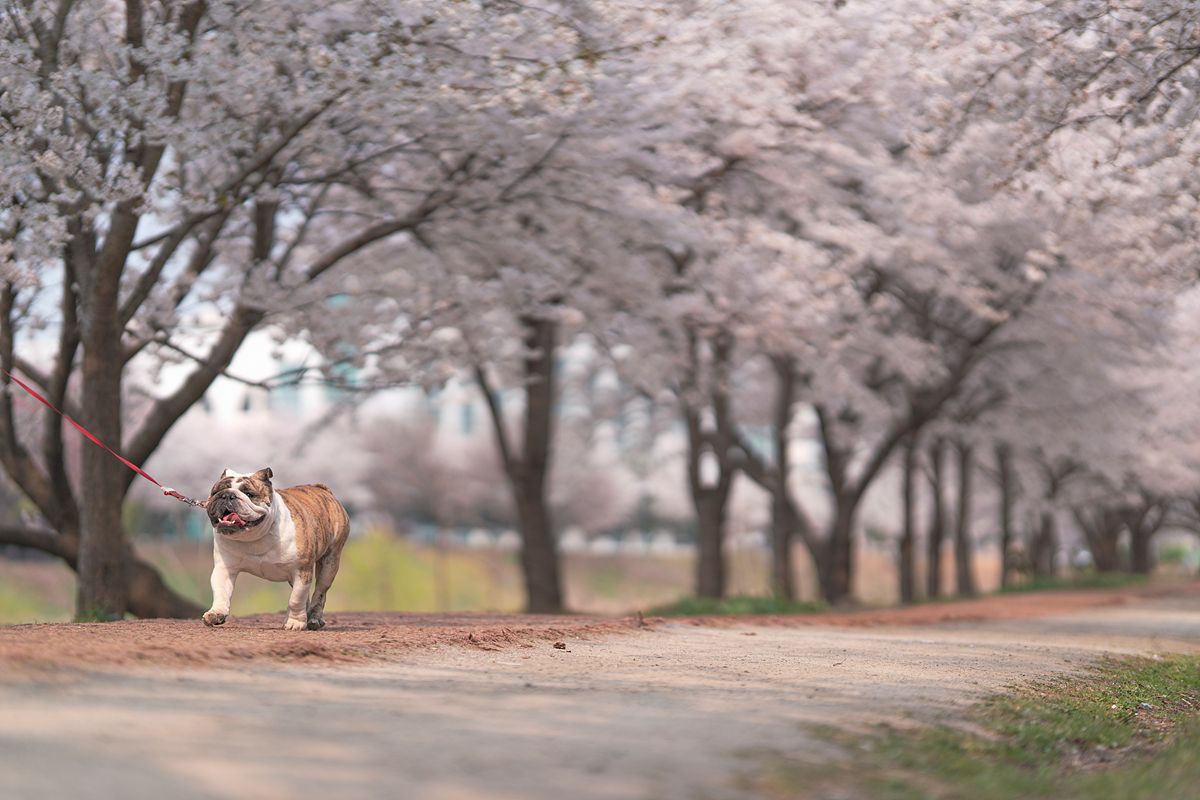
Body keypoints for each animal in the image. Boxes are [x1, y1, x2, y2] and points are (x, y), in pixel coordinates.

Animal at [201, 470, 350, 633]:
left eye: (249, 494)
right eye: (215, 492)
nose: (227, 495)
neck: (255, 537)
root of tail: (321, 488)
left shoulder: (301, 571)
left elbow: (295, 598)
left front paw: (294, 622)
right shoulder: (224, 569)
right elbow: (221, 592)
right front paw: (216, 613)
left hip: (329, 563)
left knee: (319, 592)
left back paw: (314, 618)